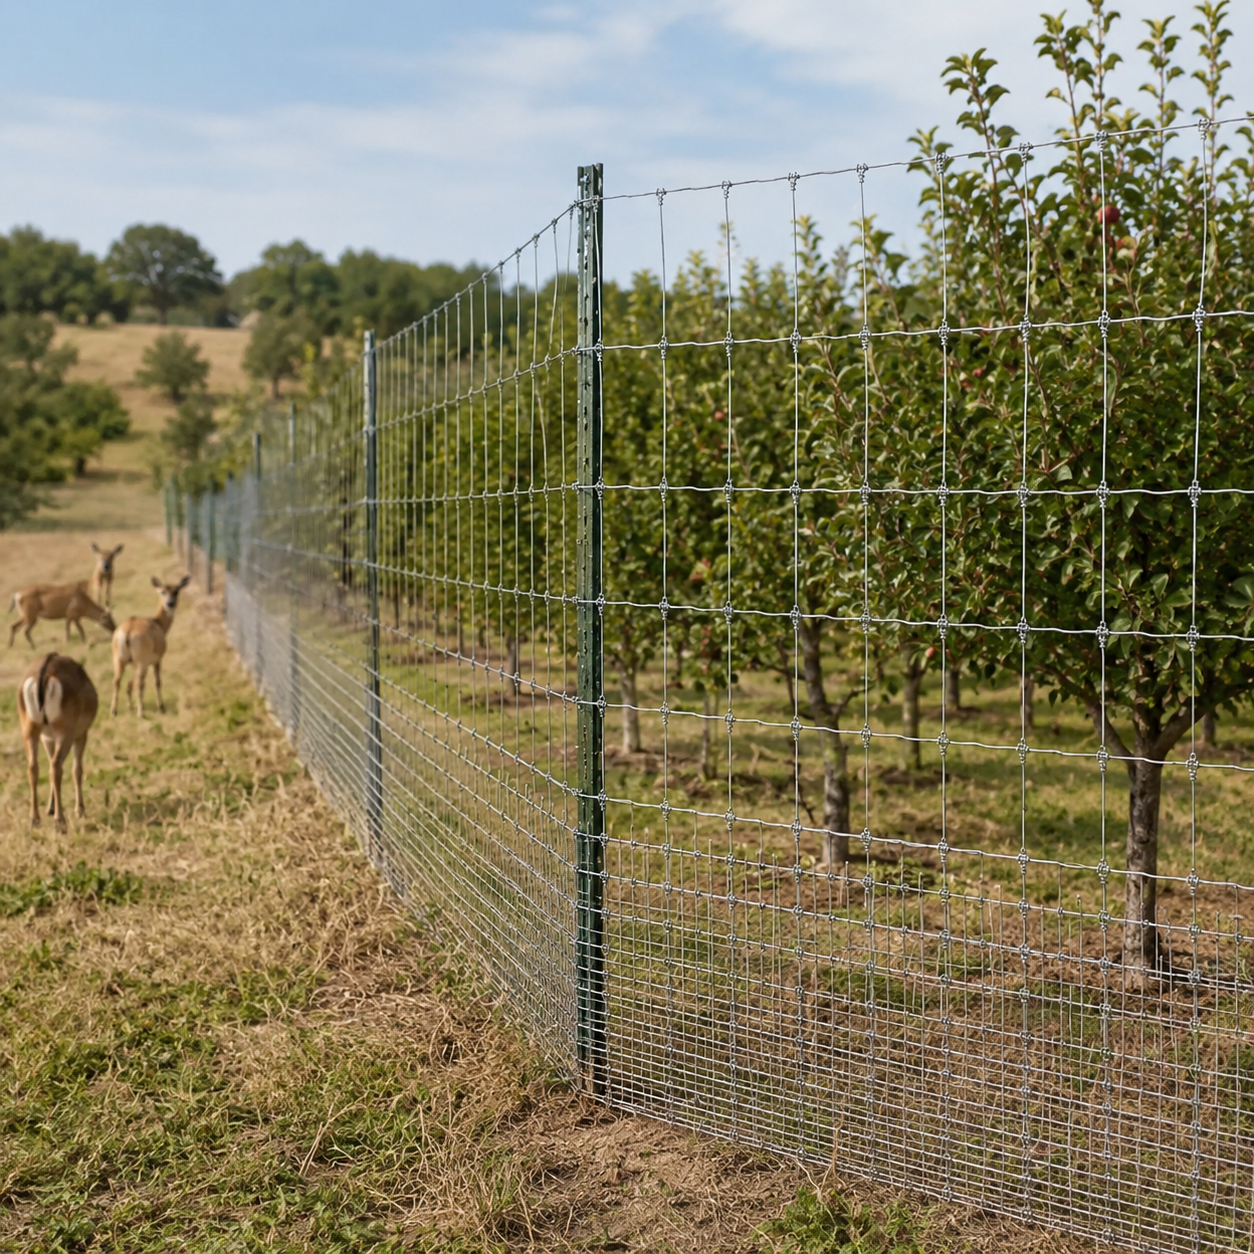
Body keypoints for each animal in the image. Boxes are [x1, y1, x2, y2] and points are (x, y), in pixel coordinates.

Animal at [17, 652, 99, 828]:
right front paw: (80, 810)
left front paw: (50, 808)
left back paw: (35, 819)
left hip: (29, 730)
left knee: (33, 767)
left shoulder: (47, 738)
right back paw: (60, 821)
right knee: (56, 767)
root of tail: (43, 676)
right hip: (65, 732)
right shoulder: (80, 735)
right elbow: (77, 769)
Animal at [111, 575, 190, 717]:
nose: (170, 603)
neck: (159, 624)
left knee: (117, 681)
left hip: (119, 658)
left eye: (176, 591)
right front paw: (161, 707)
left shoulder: (135, 663)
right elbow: (157, 682)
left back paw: (114, 711)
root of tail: (128, 631)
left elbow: (130, 683)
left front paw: (130, 706)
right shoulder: (157, 659)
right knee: (140, 683)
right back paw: (141, 713)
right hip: (142, 659)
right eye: (162, 592)